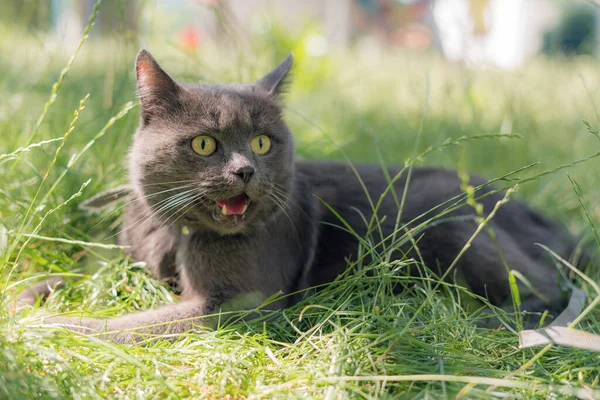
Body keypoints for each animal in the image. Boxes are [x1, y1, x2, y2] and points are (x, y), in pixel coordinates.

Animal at [28, 50, 584, 344]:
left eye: (262, 142)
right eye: (205, 144)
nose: (245, 170)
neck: (176, 233)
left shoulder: (240, 303)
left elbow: (128, 325)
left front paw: (49, 326)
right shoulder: (129, 253)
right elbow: (85, 267)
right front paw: (31, 295)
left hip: (444, 226)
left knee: (548, 291)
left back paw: (473, 319)